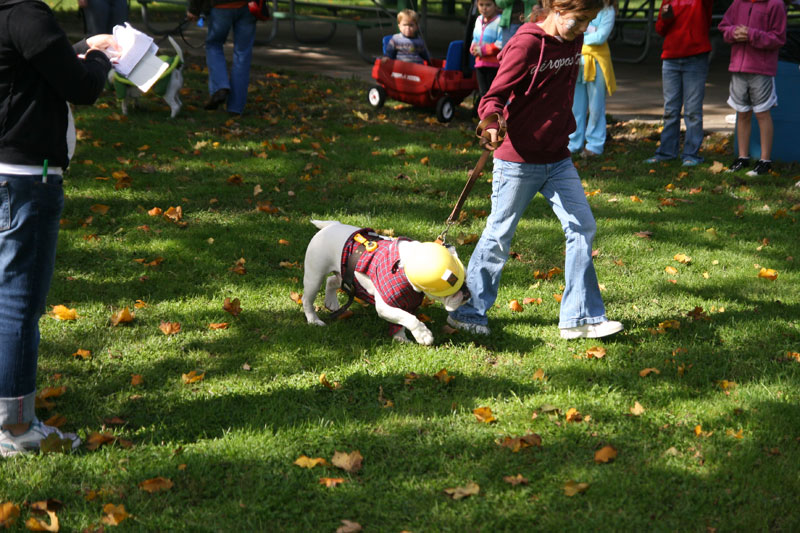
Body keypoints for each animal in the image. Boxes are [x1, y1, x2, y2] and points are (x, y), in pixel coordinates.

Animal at [304, 220, 472, 344]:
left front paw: (400, 337)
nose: (467, 293)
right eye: (451, 286)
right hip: (314, 276)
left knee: (332, 280)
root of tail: (332, 224)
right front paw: (423, 335)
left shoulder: (407, 302)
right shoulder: (386, 306)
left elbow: (400, 321)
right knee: (308, 299)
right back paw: (314, 320)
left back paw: (331, 302)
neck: (404, 267)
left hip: (344, 273)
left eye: (467, 280)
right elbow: (408, 318)